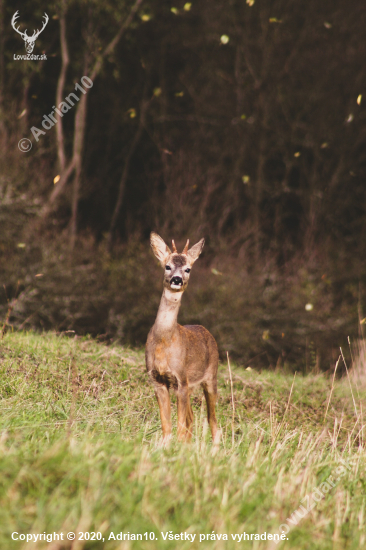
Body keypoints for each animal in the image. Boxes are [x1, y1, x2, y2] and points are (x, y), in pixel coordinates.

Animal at [145, 232, 220, 444]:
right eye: (167, 266)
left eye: (188, 269)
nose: (177, 279)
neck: (164, 342)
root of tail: (206, 330)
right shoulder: (157, 379)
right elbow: (167, 425)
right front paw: (166, 446)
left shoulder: (181, 379)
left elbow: (178, 424)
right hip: (192, 385)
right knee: (192, 418)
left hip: (211, 377)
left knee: (212, 420)